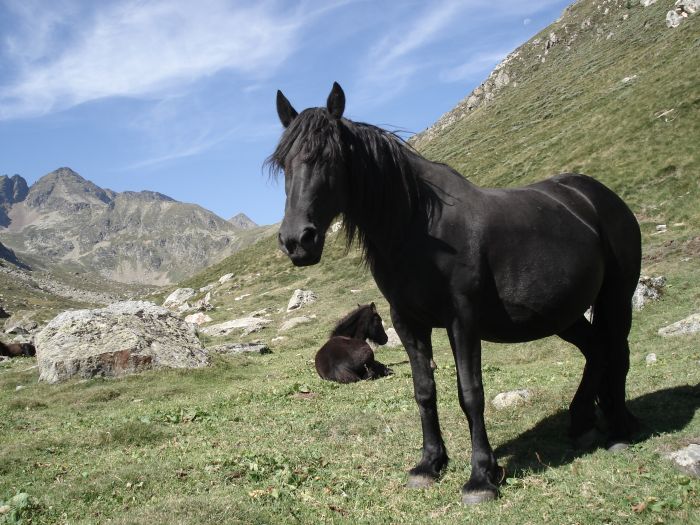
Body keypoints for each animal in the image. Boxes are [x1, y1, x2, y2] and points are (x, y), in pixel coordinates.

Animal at [266, 83, 640, 504]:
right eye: (283, 164)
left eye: (328, 157)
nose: (297, 241)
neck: (419, 227)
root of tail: (596, 195)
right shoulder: (408, 322)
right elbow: (424, 391)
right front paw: (429, 464)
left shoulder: (462, 320)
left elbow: (470, 393)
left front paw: (481, 476)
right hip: (565, 314)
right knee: (597, 351)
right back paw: (582, 423)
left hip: (617, 297)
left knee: (617, 353)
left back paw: (619, 431)